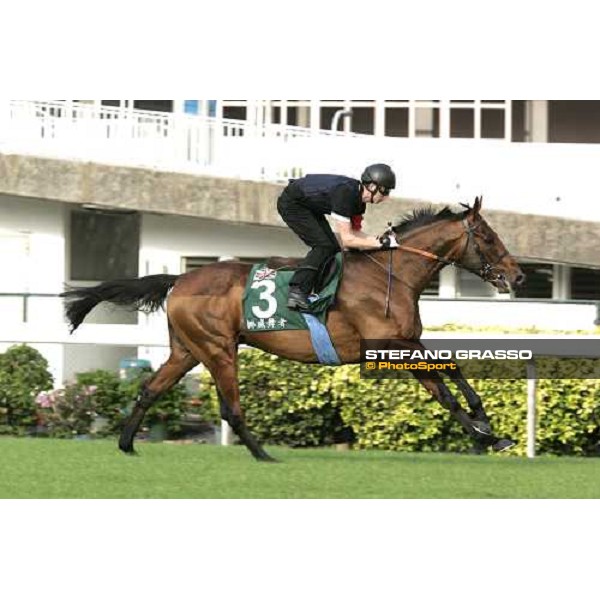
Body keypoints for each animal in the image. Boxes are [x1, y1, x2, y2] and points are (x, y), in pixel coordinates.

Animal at [62, 197, 524, 460]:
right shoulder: (389, 343)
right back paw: (263, 454)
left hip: (187, 350)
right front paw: (485, 435)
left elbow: (449, 378)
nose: (517, 275)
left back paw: (127, 445)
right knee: (230, 408)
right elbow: (444, 387)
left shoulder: (406, 341)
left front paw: (487, 429)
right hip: (217, 348)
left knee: (149, 389)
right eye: (487, 236)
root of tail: (180, 279)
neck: (391, 274)